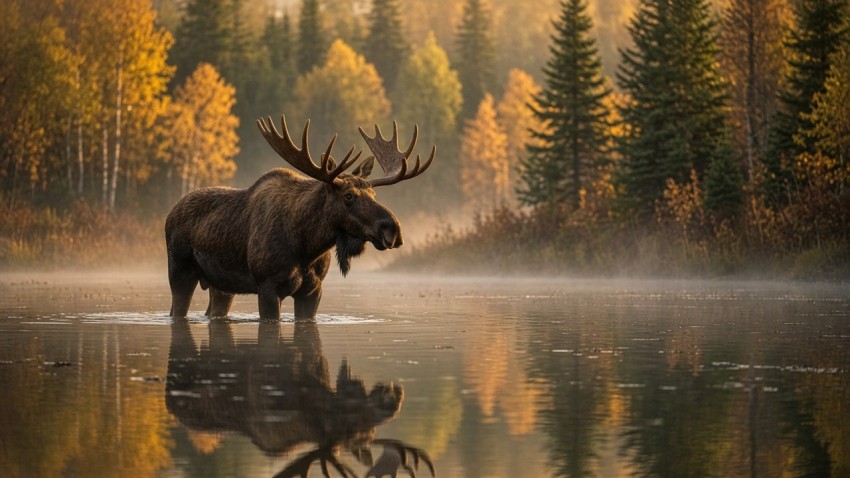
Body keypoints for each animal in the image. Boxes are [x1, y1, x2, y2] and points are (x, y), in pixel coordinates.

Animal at [165, 115, 435, 320]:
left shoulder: (313, 290)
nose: (393, 229)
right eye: (348, 196)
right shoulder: (267, 287)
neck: (307, 246)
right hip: (179, 271)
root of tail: (170, 212)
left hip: (220, 286)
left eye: (373, 193)